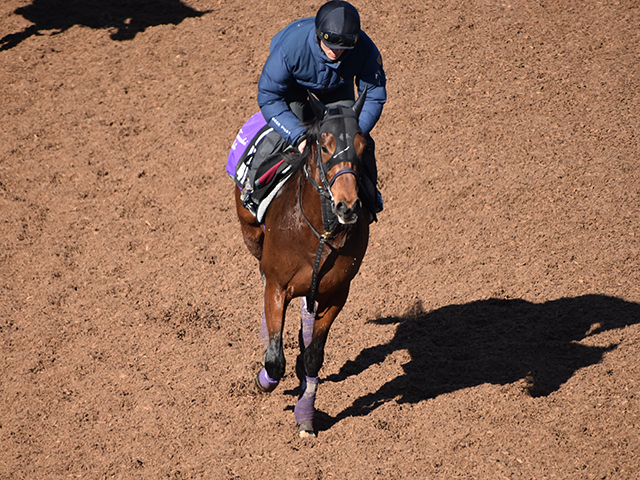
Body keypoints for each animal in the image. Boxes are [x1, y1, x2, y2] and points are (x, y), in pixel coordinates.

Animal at [235, 92, 370, 436]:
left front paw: (305, 417)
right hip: (249, 231)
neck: (318, 231)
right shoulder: (277, 286)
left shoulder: (337, 294)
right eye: (324, 145)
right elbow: (274, 361)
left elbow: (312, 357)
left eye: (362, 145)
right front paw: (264, 380)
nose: (348, 206)